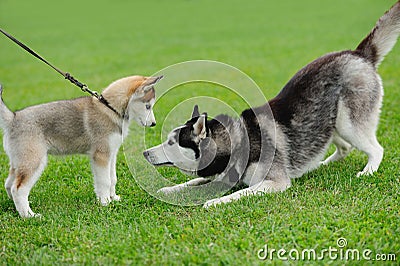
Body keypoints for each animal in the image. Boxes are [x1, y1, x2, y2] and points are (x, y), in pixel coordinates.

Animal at [1, 74, 162, 216]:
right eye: (148, 106)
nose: (154, 124)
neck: (110, 108)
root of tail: (13, 118)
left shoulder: (112, 153)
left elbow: (112, 178)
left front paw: (113, 198)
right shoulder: (101, 155)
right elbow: (104, 181)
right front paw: (105, 203)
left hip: (19, 162)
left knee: (9, 184)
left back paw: (17, 207)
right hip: (34, 161)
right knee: (18, 189)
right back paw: (29, 215)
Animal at [144, 2, 400, 208]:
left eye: (172, 142)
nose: (145, 152)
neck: (239, 143)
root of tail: (358, 54)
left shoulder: (275, 182)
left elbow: (239, 193)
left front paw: (214, 202)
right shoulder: (216, 175)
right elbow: (193, 181)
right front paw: (169, 189)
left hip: (348, 123)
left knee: (376, 149)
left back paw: (368, 171)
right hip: (330, 123)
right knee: (344, 148)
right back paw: (319, 165)